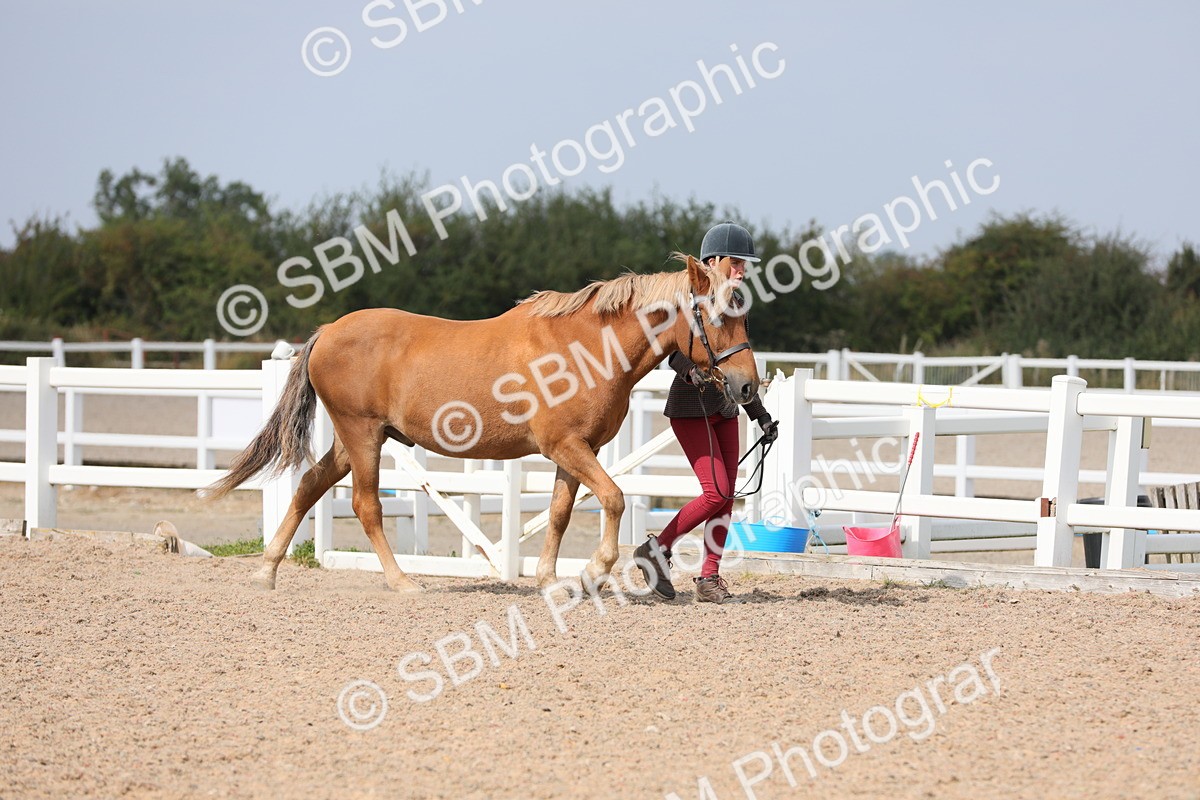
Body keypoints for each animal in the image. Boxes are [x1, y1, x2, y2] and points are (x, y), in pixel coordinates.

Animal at [202, 253, 761, 593]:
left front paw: (550, 580)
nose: (747, 387)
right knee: (365, 506)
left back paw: (267, 571)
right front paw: (594, 571)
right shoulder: (565, 446)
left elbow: (559, 514)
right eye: (717, 317)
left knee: (310, 485)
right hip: (362, 436)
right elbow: (615, 498)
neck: (583, 348)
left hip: (353, 440)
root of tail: (326, 332)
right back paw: (402, 582)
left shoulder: (577, 451)